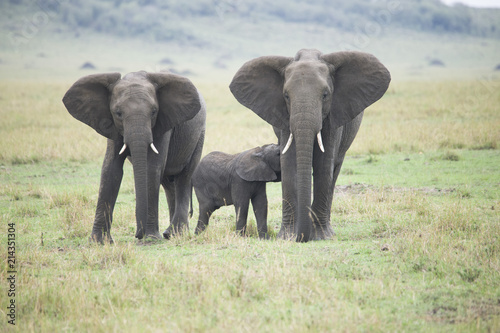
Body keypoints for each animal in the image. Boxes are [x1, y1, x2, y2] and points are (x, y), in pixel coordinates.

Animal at [62, 70, 205, 241]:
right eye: (118, 113)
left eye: (154, 112)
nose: (138, 235)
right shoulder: (112, 125)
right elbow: (111, 169)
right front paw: (98, 241)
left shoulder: (162, 124)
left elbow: (151, 167)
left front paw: (150, 239)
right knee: (168, 183)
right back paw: (169, 234)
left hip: (199, 136)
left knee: (184, 178)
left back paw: (176, 233)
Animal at [230, 48, 390, 241]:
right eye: (286, 96)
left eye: (325, 95)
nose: (302, 237)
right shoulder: (285, 119)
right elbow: (289, 164)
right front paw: (288, 236)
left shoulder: (333, 118)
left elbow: (324, 166)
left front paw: (320, 236)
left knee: (334, 172)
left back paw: (327, 231)